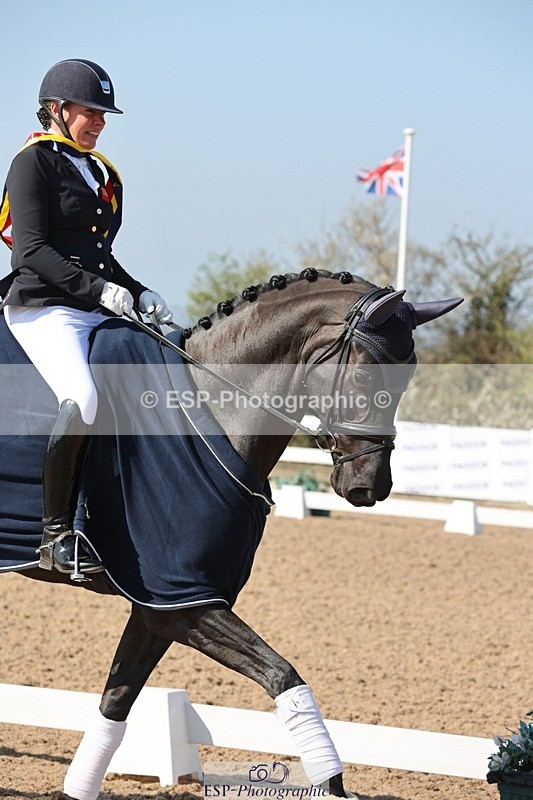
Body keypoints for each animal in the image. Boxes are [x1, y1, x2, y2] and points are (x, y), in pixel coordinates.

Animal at [0, 268, 461, 800]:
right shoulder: (186, 599)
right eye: (366, 376)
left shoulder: (161, 606)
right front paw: (332, 783)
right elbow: (282, 675)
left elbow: (115, 702)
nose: (370, 486)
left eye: (408, 377)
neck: (207, 405)